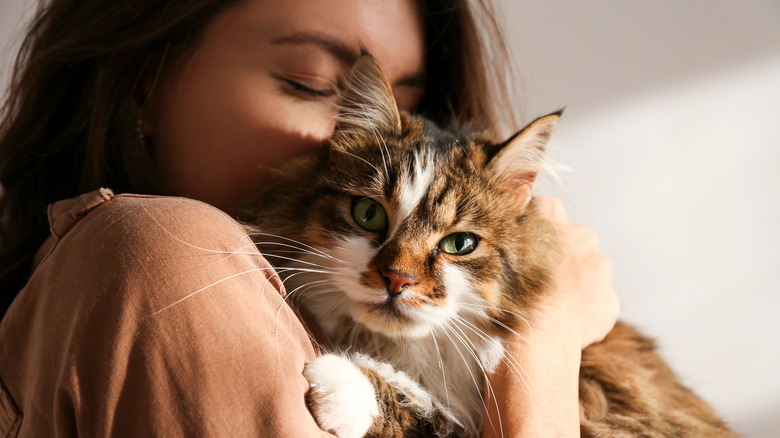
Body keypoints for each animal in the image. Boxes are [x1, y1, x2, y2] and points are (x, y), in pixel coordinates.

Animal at [238, 55, 736, 438]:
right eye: (369, 214)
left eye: (460, 243)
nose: (397, 279)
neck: (406, 353)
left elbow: (425, 412)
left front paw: (342, 385)